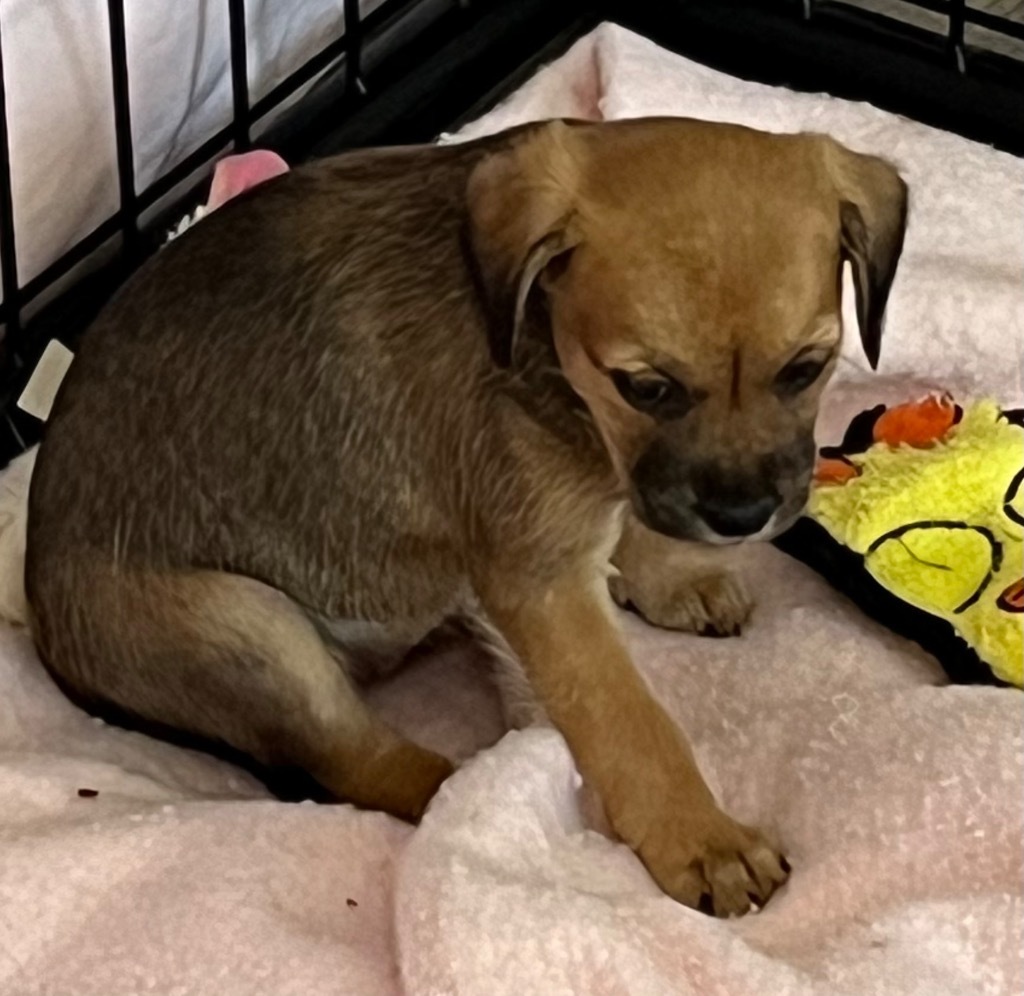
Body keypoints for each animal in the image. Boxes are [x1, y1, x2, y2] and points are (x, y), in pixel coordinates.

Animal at [24, 112, 905, 913]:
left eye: (807, 369)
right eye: (646, 387)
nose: (742, 516)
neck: (541, 339)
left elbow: (628, 512)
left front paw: (671, 576)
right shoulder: (540, 585)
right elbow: (628, 723)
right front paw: (703, 841)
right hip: (239, 630)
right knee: (356, 762)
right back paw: (467, 795)